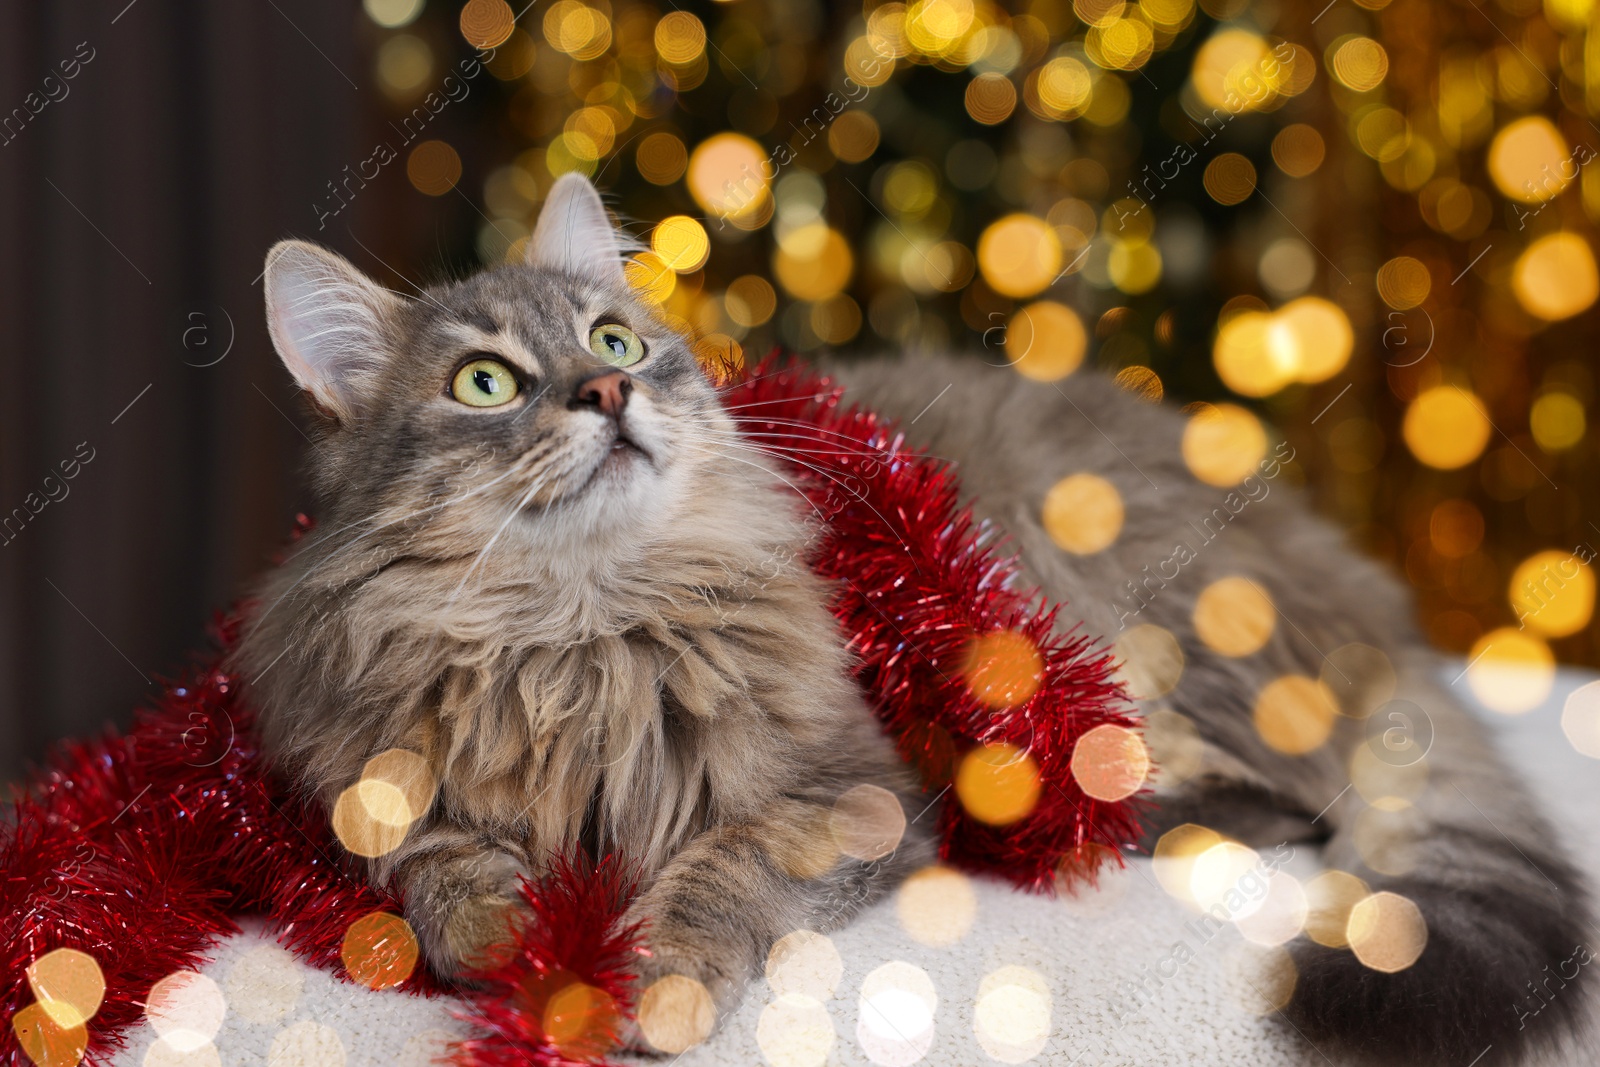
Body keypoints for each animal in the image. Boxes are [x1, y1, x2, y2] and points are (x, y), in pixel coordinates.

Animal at [233, 175, 1587, 1067]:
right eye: (484, 383)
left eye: (617, 339)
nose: (610, 389)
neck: (582, 636)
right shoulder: (352, 775)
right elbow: (427, 862)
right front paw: (509, 929)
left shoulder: (856, 787)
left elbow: (724, 870)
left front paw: (654, 980)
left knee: (1279, 796)